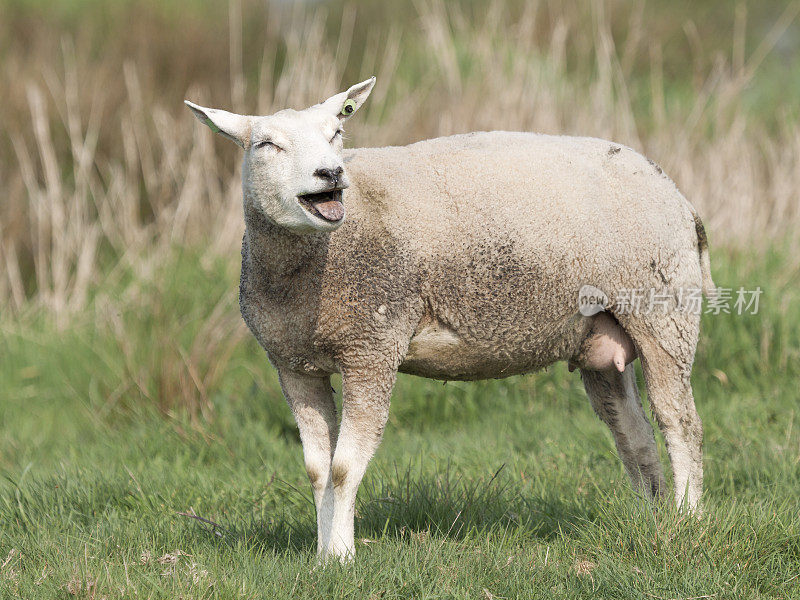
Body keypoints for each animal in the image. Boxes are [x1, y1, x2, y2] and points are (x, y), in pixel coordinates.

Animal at [184, 76, 716, 564]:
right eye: (266, 145)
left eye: (337, 132)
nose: (330, 173)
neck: (310, 263)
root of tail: (677, 196)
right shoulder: (294, 365)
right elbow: (317, 470)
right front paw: (321, 557)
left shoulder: (371, 347)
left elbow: (343, 467)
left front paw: (342, 559)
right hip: (602, 336)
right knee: (633, 434)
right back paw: (652, 516)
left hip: (662, 308)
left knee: (680, 423)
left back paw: (687, 521)